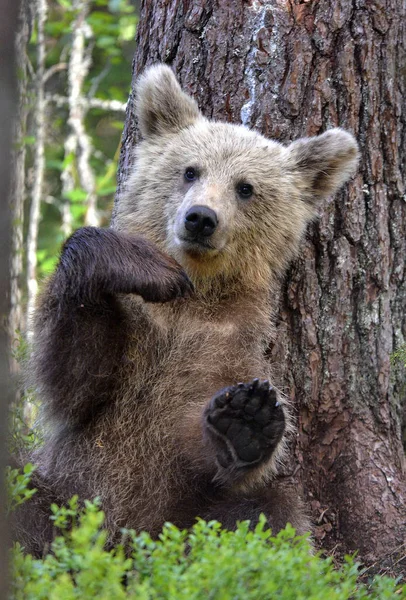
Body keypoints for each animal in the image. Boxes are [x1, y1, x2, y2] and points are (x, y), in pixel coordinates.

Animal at [14, 63, 358, 556]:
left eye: (245, 188)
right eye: (190, 170)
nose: (200, 218)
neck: (195, 300)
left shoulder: (229, 346)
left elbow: (199, 444)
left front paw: (245, 418)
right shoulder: (135, 340)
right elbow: (74, 376)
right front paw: (143, 266)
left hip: (183, 520)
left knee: (267, 511)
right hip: (64, 497)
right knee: (23, 504)